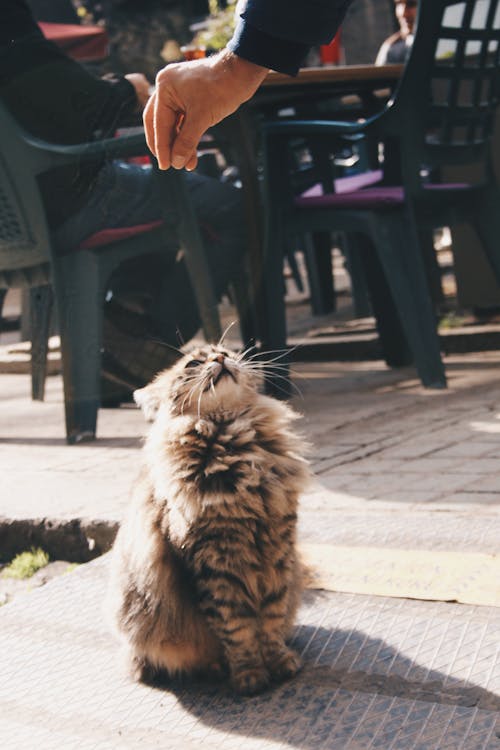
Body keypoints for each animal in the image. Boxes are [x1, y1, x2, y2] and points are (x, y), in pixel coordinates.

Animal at [107, 344, 310, 696]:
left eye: (227, 351)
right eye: (193, 363)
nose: (219, 359)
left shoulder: (277, 553)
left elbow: (271, 621)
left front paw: (279, 661)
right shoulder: (214, 566)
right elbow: (237, 629)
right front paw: (249, 674)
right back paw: (209, 669)